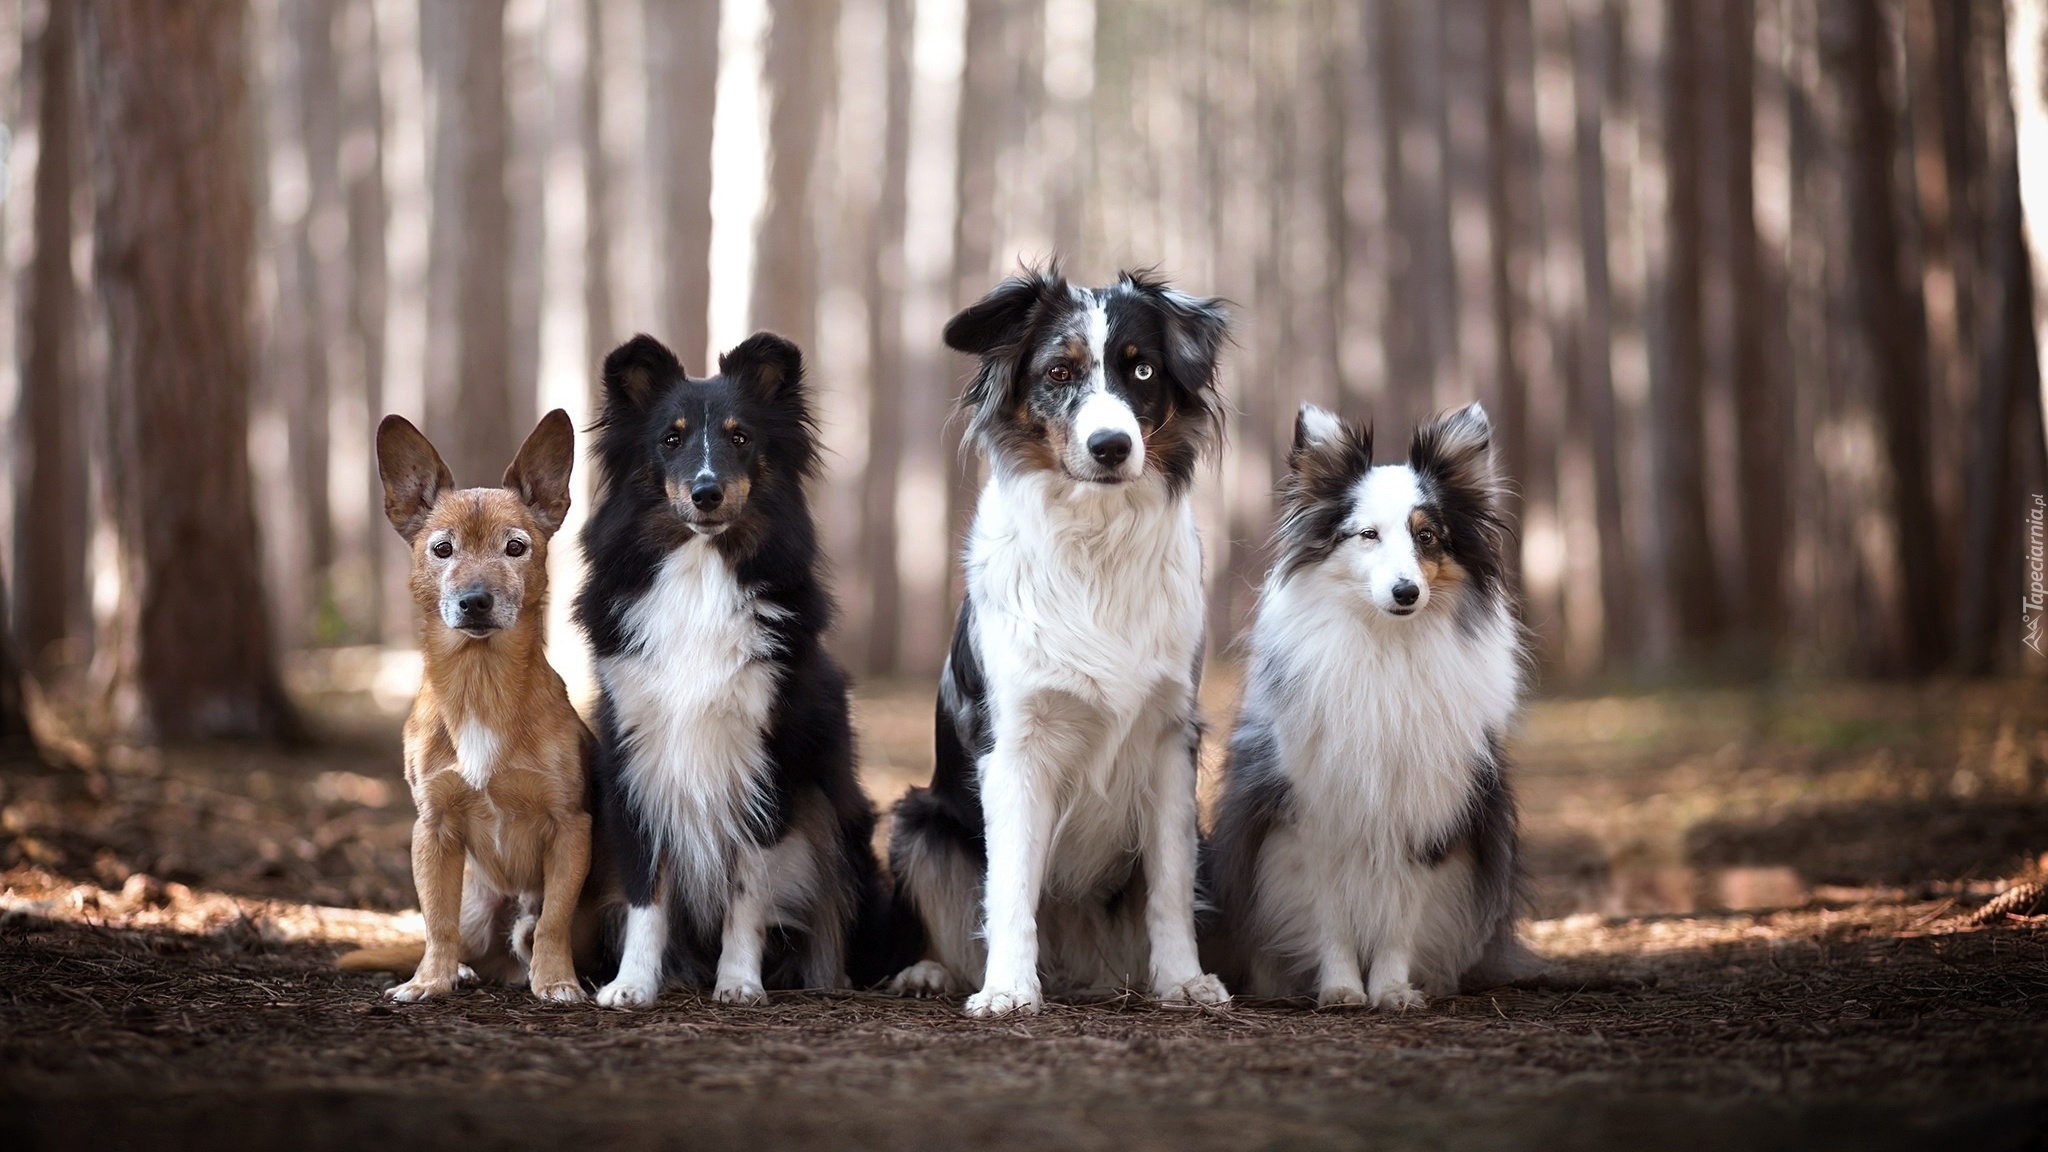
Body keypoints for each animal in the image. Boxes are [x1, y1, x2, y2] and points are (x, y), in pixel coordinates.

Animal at [346, 409, 593, 996]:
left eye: (516, 547)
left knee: (530, 930)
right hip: (478, 904)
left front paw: (557, 982)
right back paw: (458, 969)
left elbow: (554, 919)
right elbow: (437, 919)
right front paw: (429, 981)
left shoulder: (571, 828)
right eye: (442, 549)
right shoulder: (432, 829)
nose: (475, 600)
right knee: (463, 933)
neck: (480, 683)